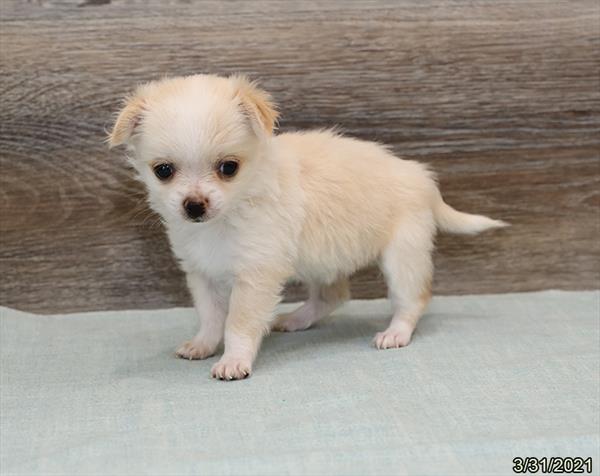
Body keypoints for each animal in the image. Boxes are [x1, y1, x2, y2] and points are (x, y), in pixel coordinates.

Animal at [109, 73, 506, 380]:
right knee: (334, 296)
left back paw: (395, 333)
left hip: (403, 256)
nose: (194, 206)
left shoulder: (255, 277)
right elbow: (210, 316)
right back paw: (296, 320)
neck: (224, 220)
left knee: (413, 298)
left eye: (228, 168)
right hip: (324, 259)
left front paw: (233, 360)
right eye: (163, 171)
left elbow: (237, 322)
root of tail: (422, 178)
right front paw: (204, 344)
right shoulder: (201, 274)